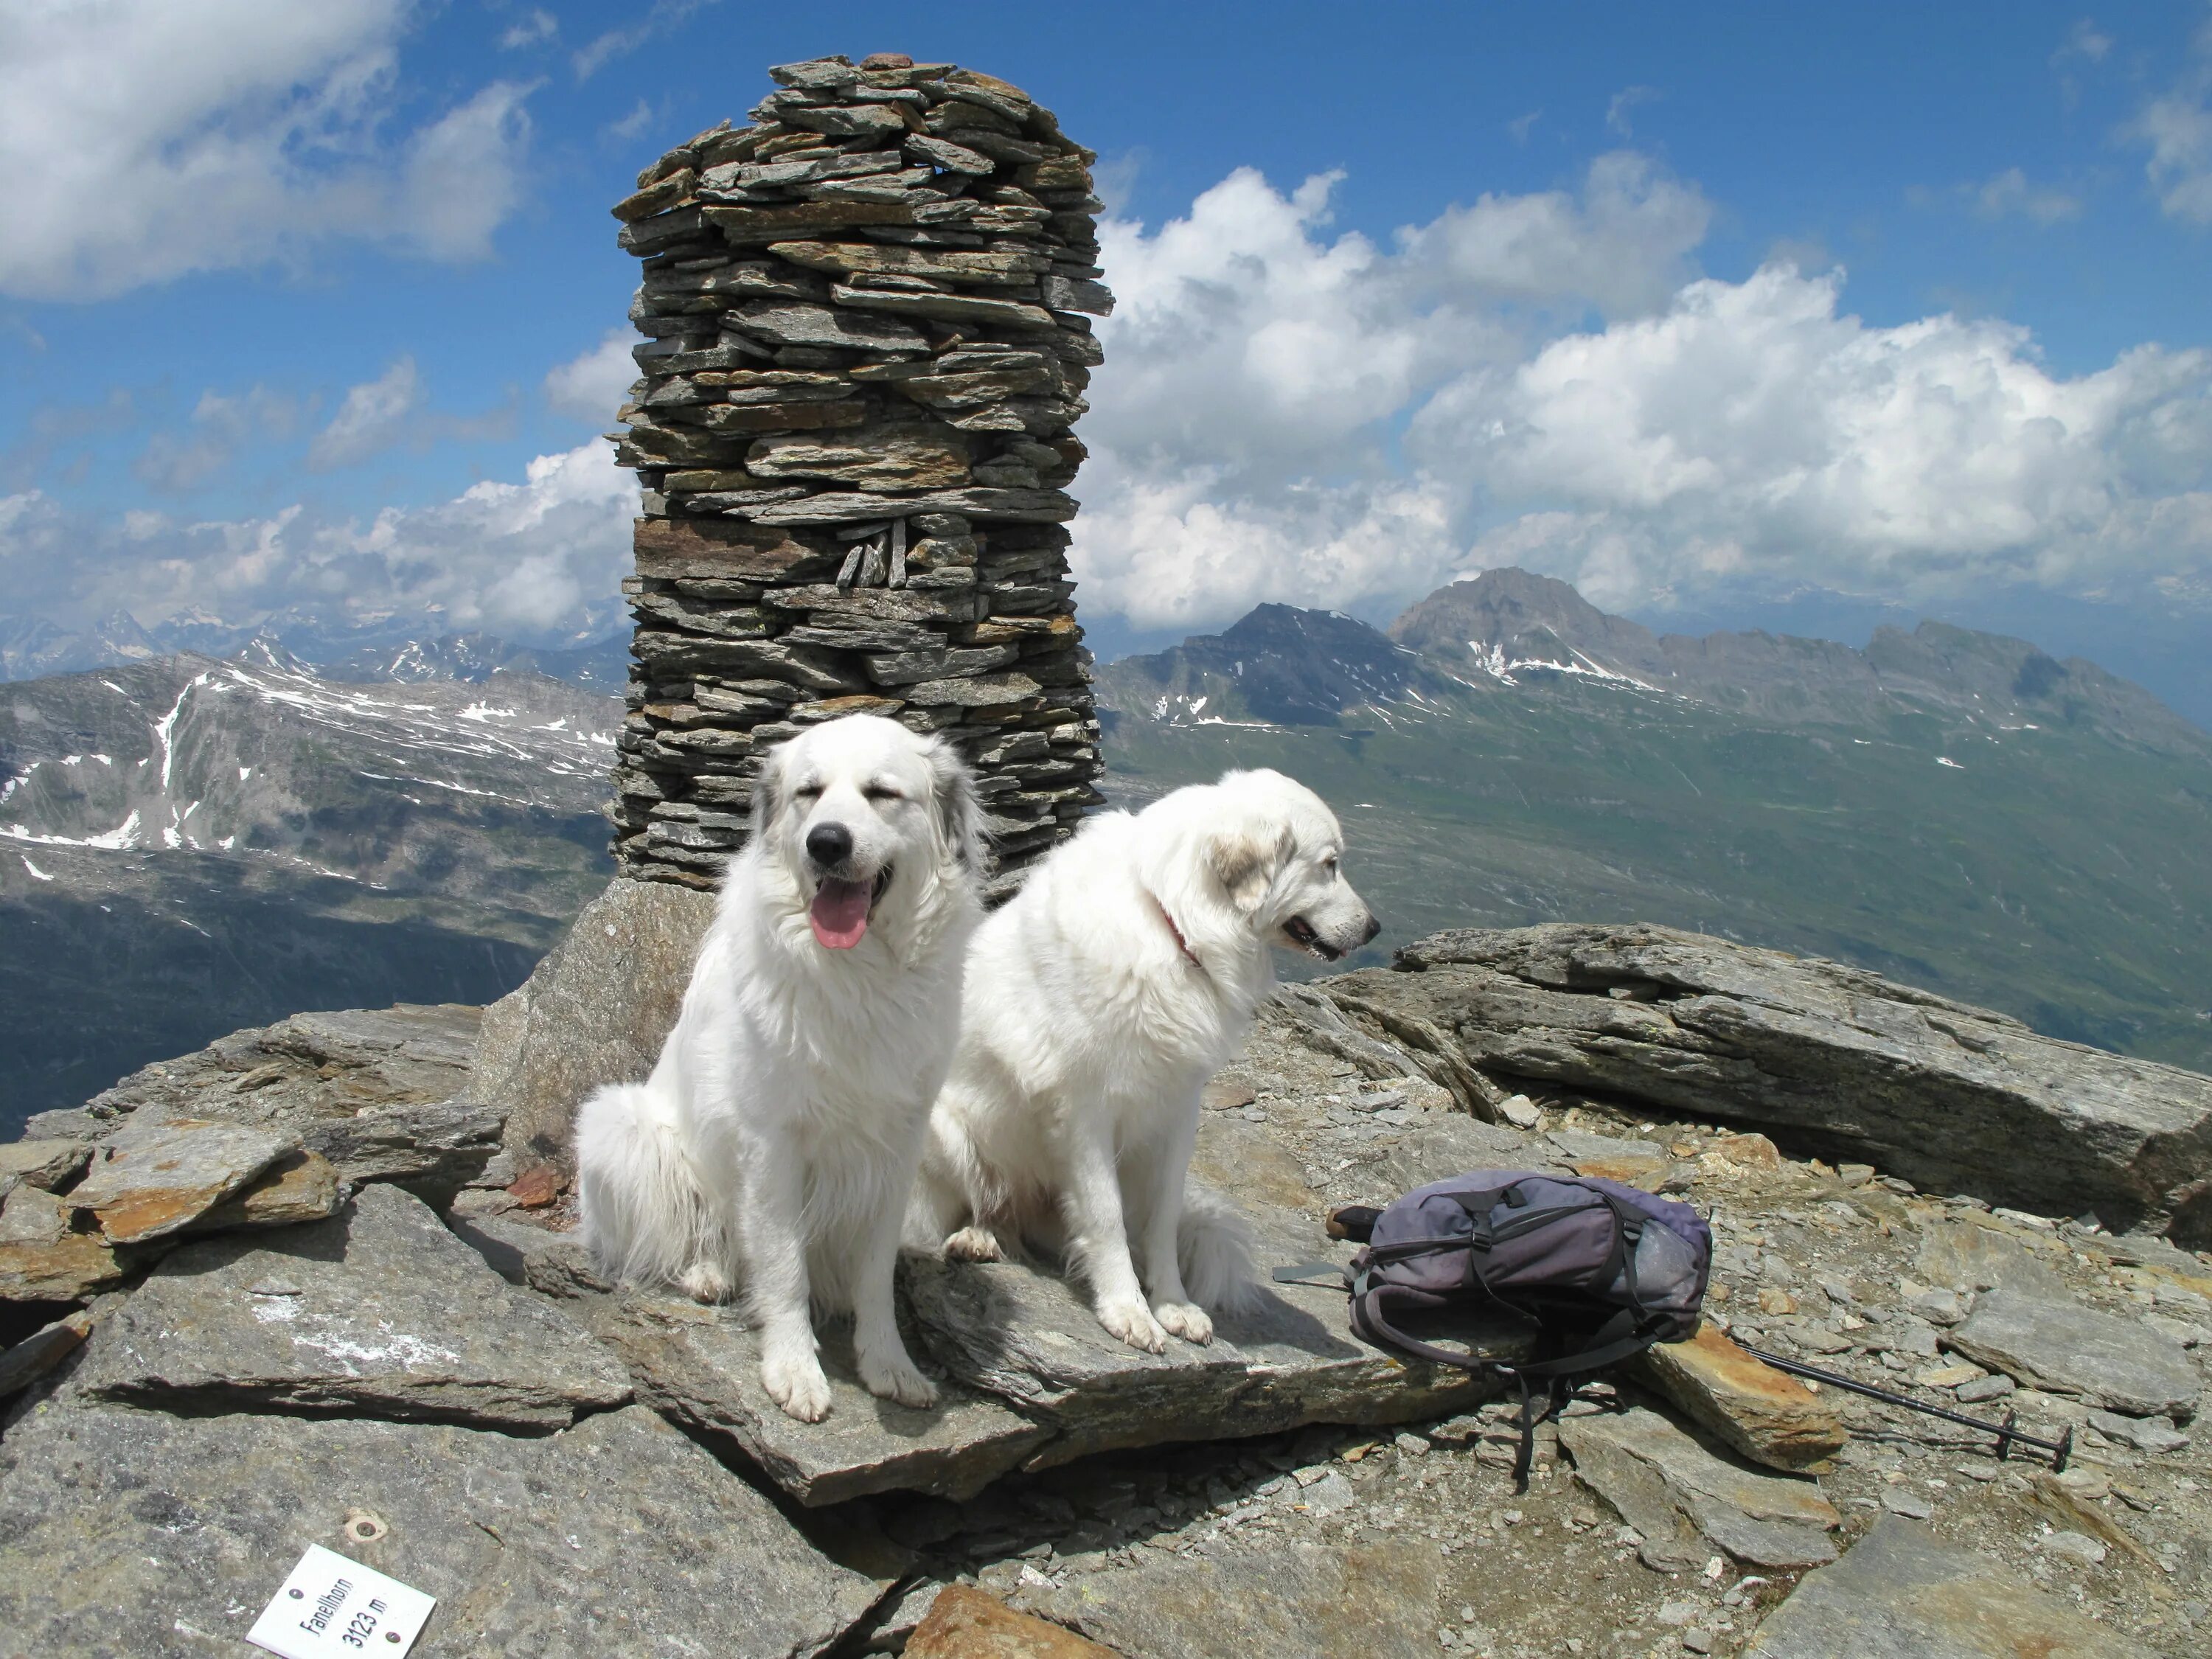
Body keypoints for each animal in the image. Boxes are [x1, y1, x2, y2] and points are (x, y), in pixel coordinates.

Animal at [575, 717, 982, 1433]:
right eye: (809, 792)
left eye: (882, 793)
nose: (827, 843)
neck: (858, 977)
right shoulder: (773, 1146)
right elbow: (783, 1265)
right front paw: (793, 1369)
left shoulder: (898, 1147)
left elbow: (875, 1269)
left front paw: (889, 1363)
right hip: (619, 1125)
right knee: (698, 1225)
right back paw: (707, 1272)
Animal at [911, 774, 1363, 1354]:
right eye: (1329, 864)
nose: (1375, 928)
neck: (1174, 924)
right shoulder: (1083, 1114)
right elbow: (1106, 1218)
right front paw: (1127, 1310)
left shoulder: (1178, 1111)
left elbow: (1161, 1219)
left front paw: (1173, 1305)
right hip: (945, 1130)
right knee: (986, 1203)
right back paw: (976, 1237)